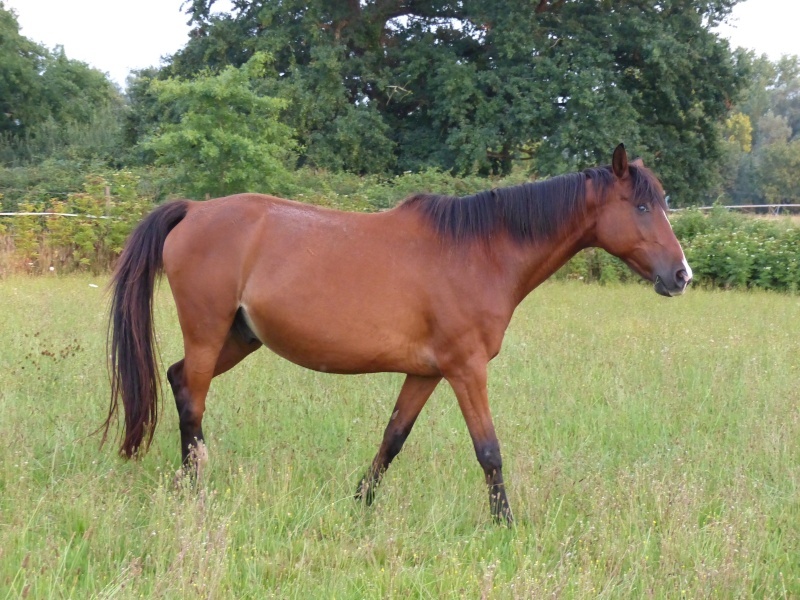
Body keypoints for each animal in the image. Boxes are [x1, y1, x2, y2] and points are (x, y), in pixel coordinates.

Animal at [103, 143, 692, 524]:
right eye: (642, 206)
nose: (681, 275)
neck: (479, 251)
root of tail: (194, 210)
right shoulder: (465, 370)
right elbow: (489, 451)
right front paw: (506, 525)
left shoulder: (426, 373)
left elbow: (392, 439)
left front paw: (359, 505)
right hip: (208, 334)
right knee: (193, 398)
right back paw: (194, 488)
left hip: (238, 338)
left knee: (179, 379)